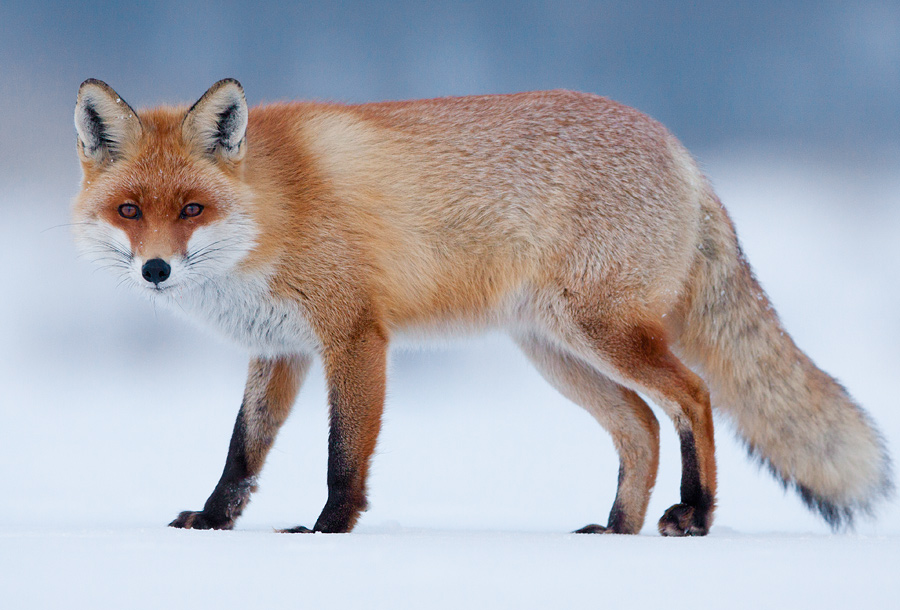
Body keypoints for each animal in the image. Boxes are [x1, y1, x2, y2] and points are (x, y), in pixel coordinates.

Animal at [71, 78, 892, 536]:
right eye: (130, 210)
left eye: (193, 208)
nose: (154, 269)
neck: (276, 208)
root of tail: (685, 153)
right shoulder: (279, 350)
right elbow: (241, 454)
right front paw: (211, 523)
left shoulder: (355, 336)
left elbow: (344, 457)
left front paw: (327, 531)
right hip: (558, 354)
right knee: (642, 428)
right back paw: (617, 531)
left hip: (603, 333)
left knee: (692, 397)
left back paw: (695, 516)